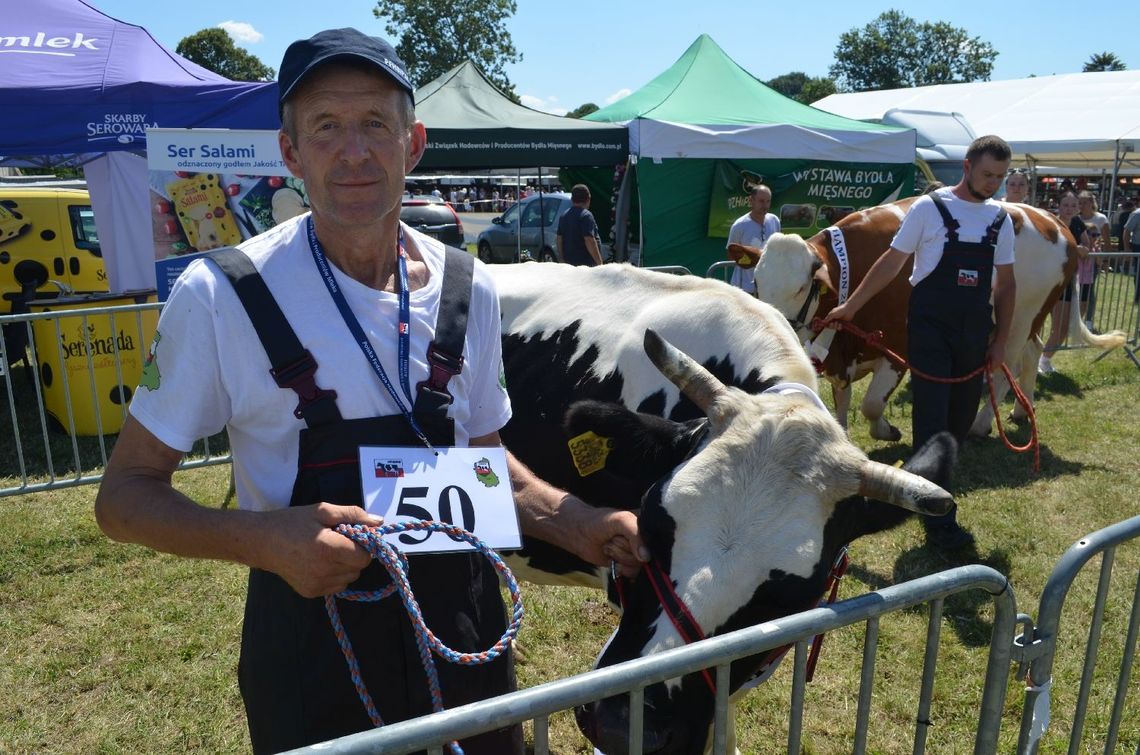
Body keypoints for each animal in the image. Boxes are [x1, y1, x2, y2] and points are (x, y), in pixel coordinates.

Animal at [752, 198, 1126, 440]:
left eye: (802, 288)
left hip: (1020, 318)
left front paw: (885, 429)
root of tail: (1056, 223)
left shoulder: (897, 347)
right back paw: (1023, 411)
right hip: (1027, 317)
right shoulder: (841, 350)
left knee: (1004, 366)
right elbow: (840, 402)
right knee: (1032, 353)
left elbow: (871, 404)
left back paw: (980, 425)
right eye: (755, 282)